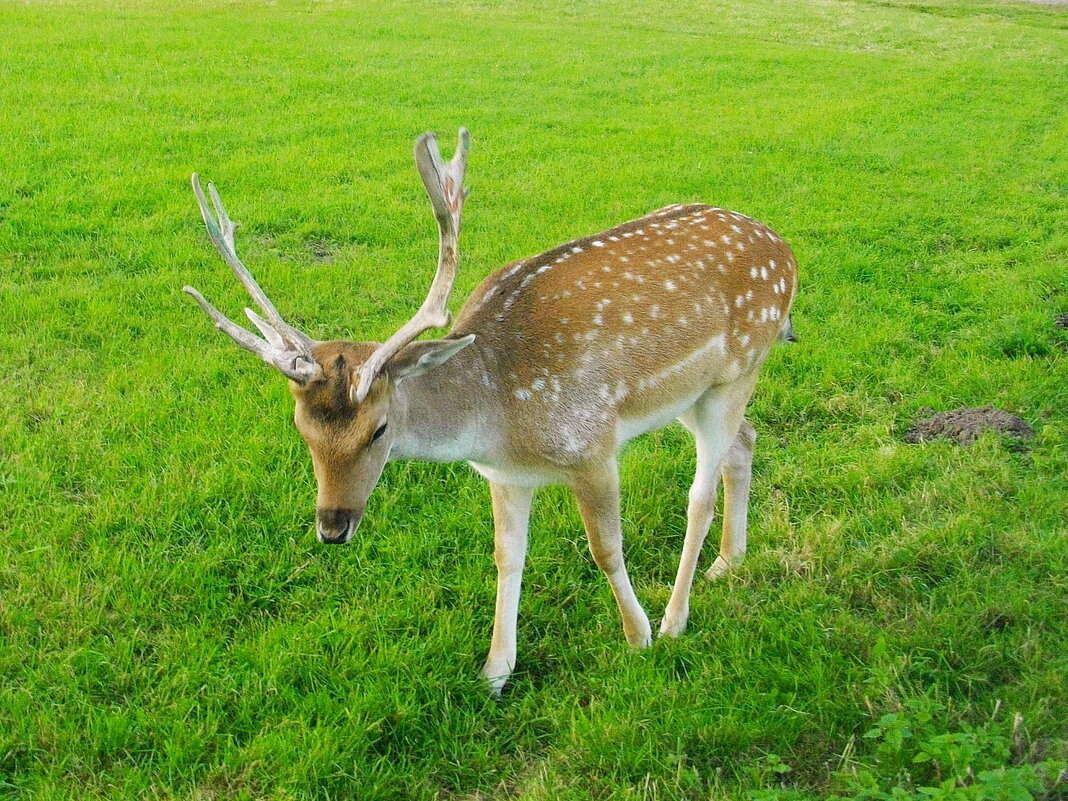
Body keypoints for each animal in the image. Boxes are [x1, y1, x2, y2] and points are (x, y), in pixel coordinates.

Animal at [183, 128, 798, 692]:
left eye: (379, 431)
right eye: (302, 430)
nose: (333, 528)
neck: (499, 419)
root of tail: (786, 251)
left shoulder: (592, 445)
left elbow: (605, 549)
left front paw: (636, 637)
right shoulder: (504, 475)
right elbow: (507, 556)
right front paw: (495, 670)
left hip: (739, 369)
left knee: (700, 493)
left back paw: (675, 618)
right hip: (694, 394)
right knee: (746, 441)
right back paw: (728, 564)